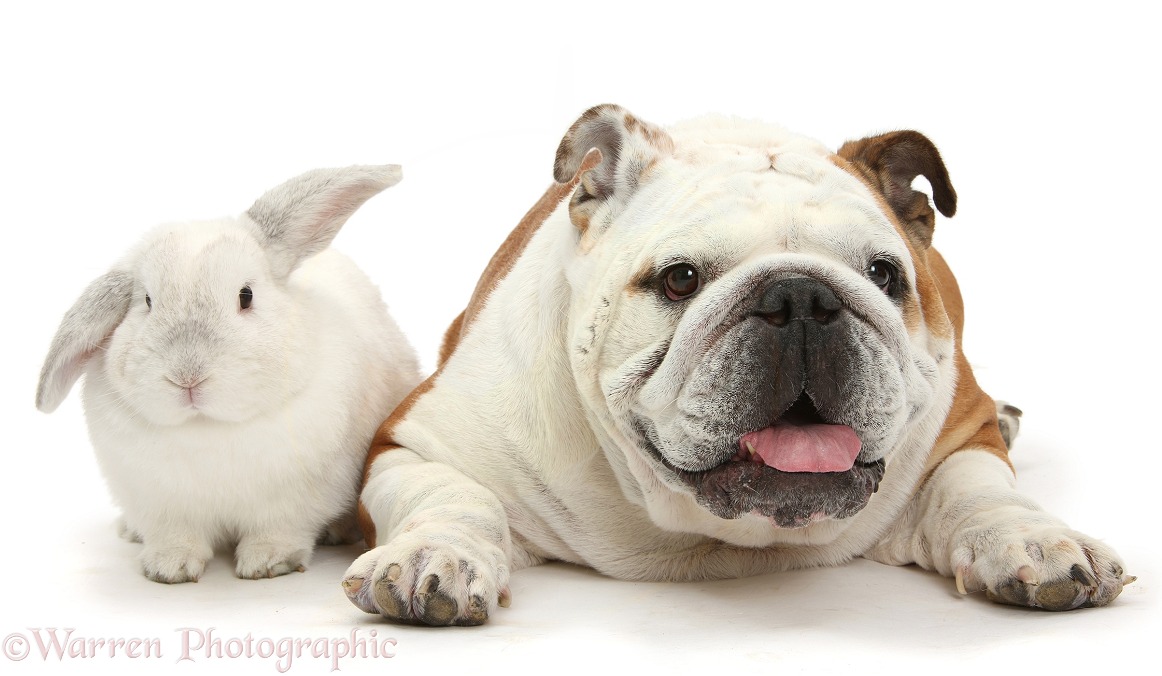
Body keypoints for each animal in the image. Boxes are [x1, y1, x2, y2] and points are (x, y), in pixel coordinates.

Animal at [32, 163, 427, 583]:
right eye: (147, 302)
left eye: (246, 295)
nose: (187, 377)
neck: (208, 427)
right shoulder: (161, 505)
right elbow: (176, 537)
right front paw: (168, 568)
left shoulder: (294, 501)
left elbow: (279, 531)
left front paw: (268, 563)